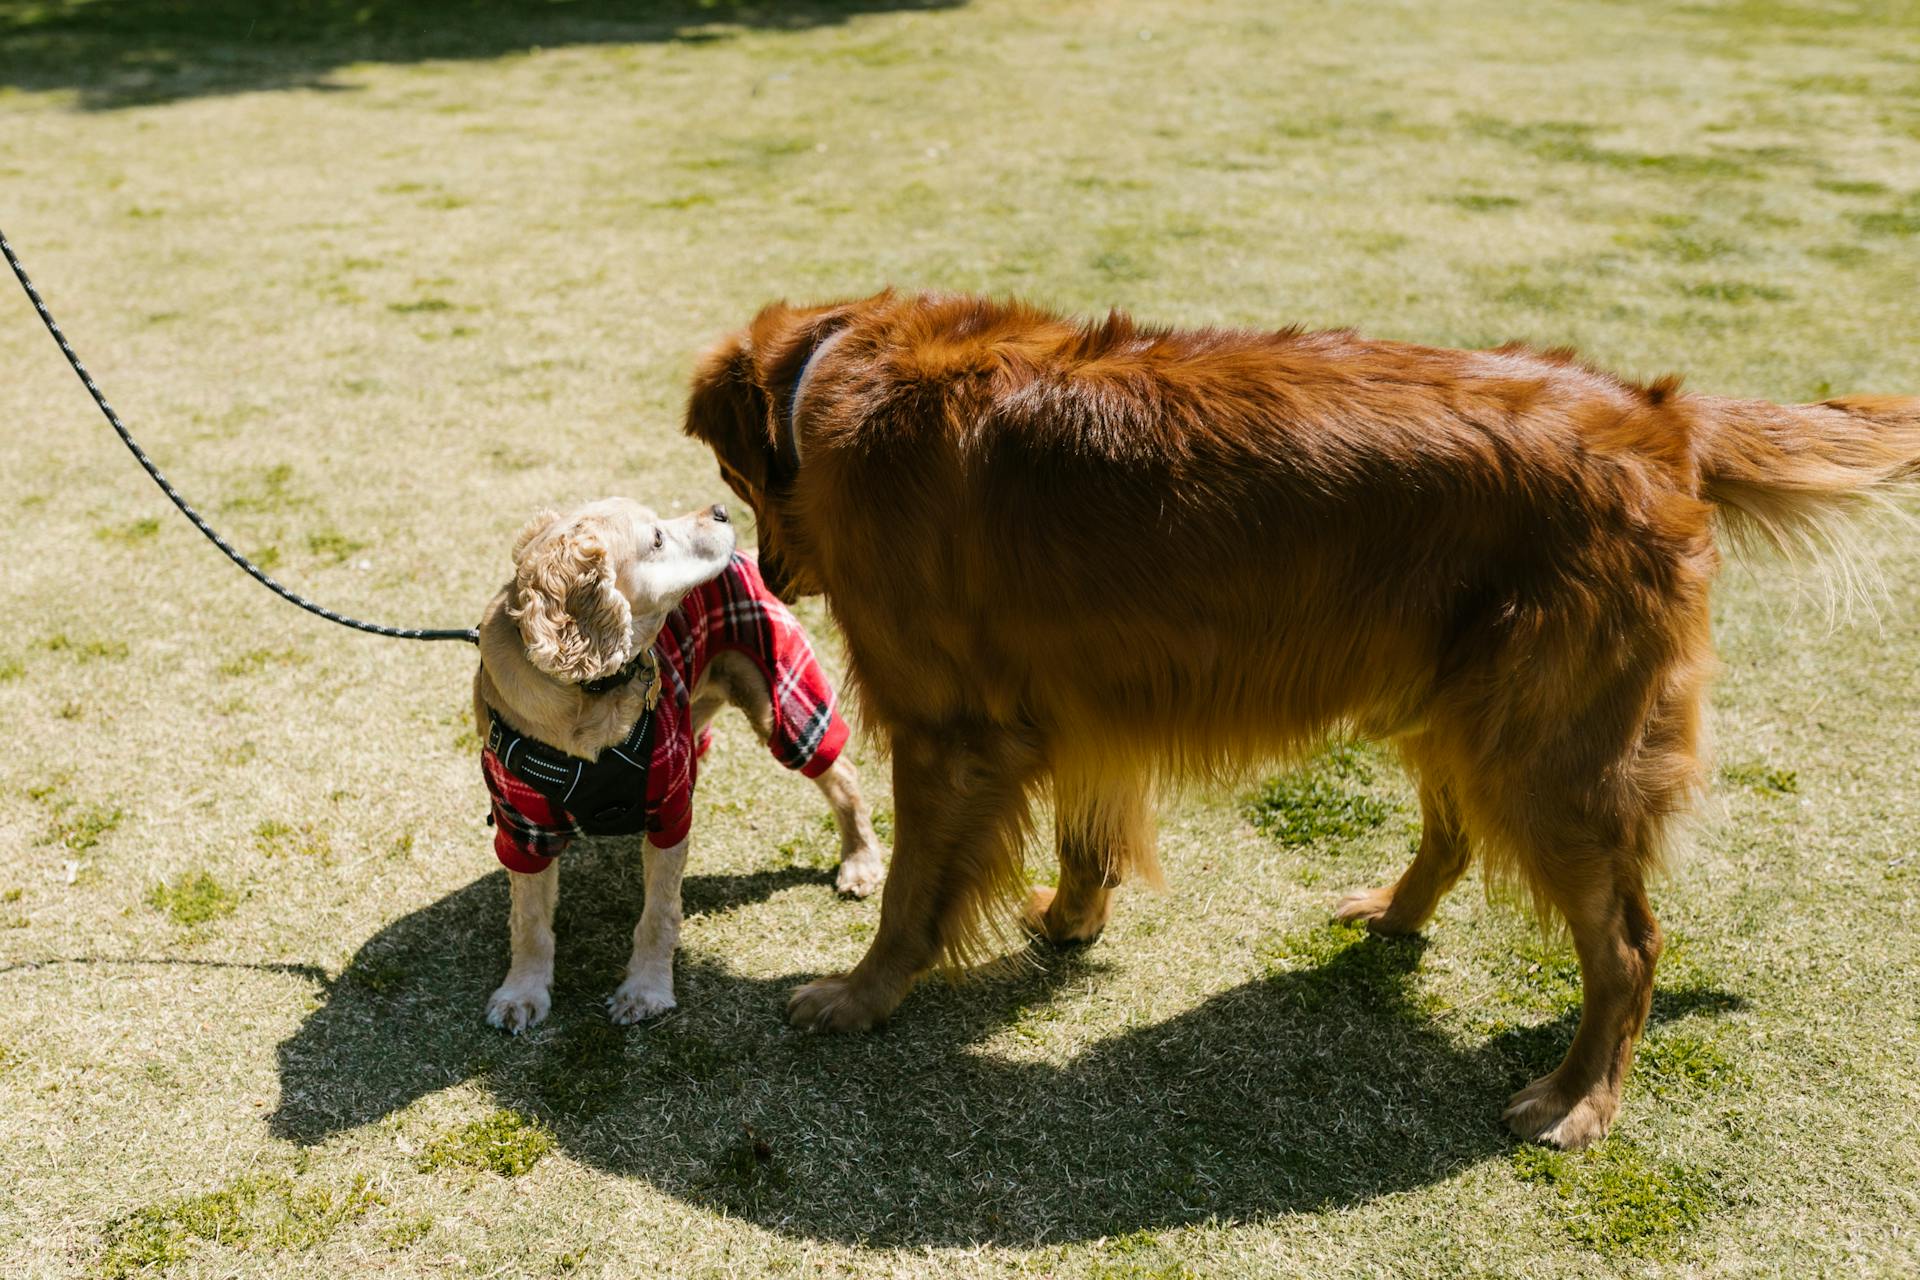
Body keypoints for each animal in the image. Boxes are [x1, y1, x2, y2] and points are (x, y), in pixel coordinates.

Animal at [472, 495, 883, 1036]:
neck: (590, 695)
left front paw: (645, 990)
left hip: (782, 703)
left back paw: (860, 861)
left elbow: (659, 913)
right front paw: (522, 992)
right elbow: (529, 923)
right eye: (657, 539)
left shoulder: (668, 808)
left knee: (843, 775)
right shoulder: (523, 828)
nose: (722, 509)